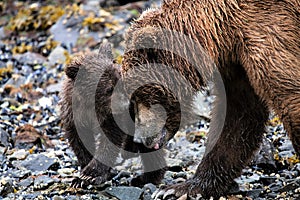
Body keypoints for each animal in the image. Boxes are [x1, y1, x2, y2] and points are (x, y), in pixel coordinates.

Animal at [118, 0, 300, 198]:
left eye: (142, 95)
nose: (139, 139)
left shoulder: (268, 33)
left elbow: (289, 96)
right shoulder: (237, 64)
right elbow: (239, 117)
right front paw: (182, 188)